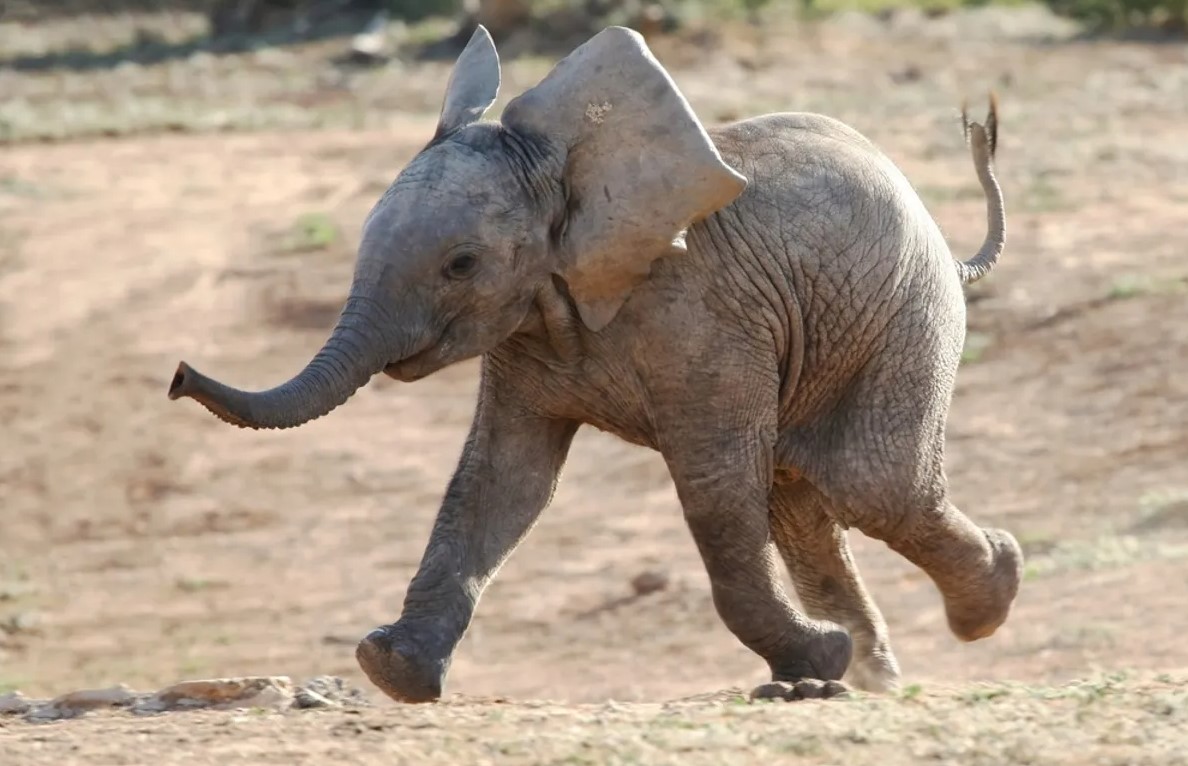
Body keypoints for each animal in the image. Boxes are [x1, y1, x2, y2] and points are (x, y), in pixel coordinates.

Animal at [167, 26, 1021, 703]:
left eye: (461, 264)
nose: (176, 377)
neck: (567, 176)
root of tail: (948, 247)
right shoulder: (527, 330)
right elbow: (502, 481)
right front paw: (391, 670)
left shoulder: (704, 319)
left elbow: (714, 488)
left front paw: (817, 659)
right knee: (804, 499)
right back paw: (873, 675)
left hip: (905, 314)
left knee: (868, 484)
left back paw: (987, 597)